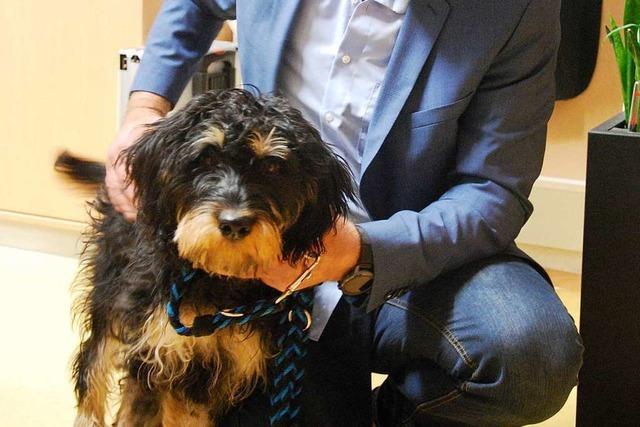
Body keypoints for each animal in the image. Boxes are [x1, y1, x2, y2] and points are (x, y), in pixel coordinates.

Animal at [54, 88, 352, 426]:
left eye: (273, 167)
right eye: (206, 158)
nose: (235, 223)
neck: (217, 279)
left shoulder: (214, 371)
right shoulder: (155, 348)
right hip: (113, 293)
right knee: (94, 358)